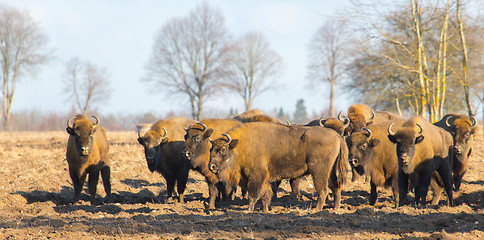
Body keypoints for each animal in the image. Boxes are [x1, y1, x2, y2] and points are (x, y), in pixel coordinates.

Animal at [208, 122, 348, 212]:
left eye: (223, 149)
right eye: (211, 149)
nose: (211, 166)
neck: (241, 146)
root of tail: (337, 136)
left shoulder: (256, 177)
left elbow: (254, 195)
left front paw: (248, 210)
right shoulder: (264, 180)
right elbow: (266, 195)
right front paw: (265, 211)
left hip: (319, 171)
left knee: (323, 190)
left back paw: (316, 209)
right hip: (330, 171)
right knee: (335, 187)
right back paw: (335, 208)